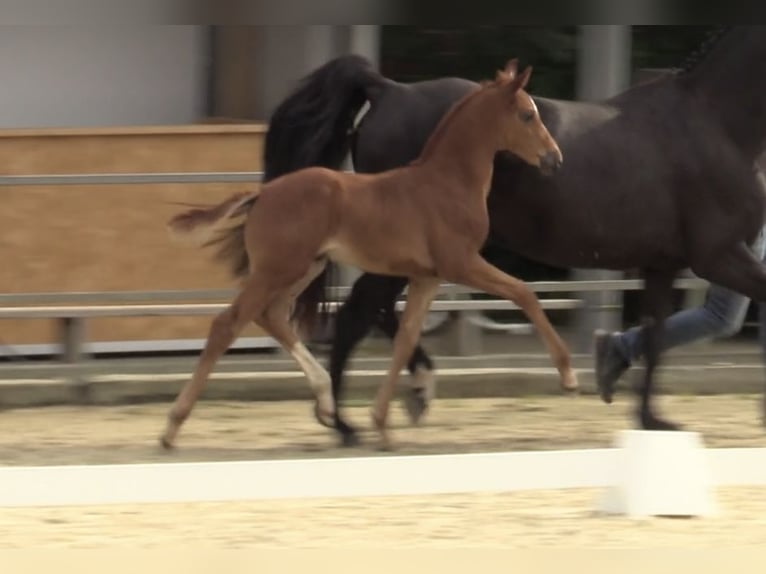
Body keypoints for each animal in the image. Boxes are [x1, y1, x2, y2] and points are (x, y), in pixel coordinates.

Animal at [159, 60, 572, 452]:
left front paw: (382, 426)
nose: (554, 158)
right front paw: (568, 375)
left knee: (271, 316)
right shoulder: (462, 264)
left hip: (304, 268)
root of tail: (263, 194)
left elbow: (405, 340)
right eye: (527, 114)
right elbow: (524, 293)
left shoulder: (427, 277)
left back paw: (327, 403)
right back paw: (172, 429)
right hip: (278, 269)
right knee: (227, 324)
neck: (447, 183)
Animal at [264, 25, 766, 446]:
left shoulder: (664, 263)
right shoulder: (718, 255)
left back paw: (388, 401)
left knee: (373, 312)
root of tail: (389, 88)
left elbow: (656, 336)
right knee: (359, 313)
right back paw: (349, 421)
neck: (714, 122)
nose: (553, 159)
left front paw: (650, 419)